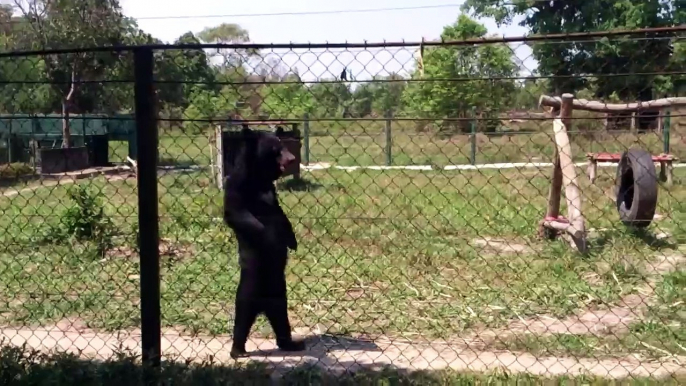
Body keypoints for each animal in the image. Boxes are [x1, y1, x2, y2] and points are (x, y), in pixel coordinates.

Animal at [223, 126, 306, 358]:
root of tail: (263, 303)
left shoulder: (271, 189)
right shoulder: (238, 184)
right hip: (251, 285)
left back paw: (292, 343)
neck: (258, 176)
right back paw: (238, 350)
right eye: (278, 148)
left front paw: (292, 241)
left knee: (280, 316)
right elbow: (238, 213)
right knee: (242, 313)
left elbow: (280, 213)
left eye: (284, 145)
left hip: (279, 291)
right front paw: (270, 239)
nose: (292, 157)